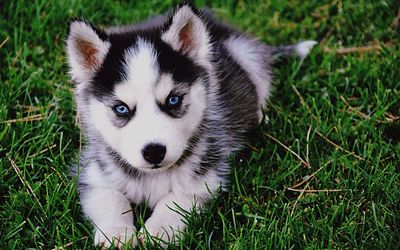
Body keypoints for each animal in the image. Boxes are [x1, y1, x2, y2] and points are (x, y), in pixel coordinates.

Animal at [65, 2, 316, 247]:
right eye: (121, 109)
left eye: (173, 100)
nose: (154, 152)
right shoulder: (93, 172)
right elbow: (110, 198)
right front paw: (116, 233)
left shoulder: (206, 175)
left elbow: (177, 199)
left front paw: (159, 230)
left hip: (248, 57)